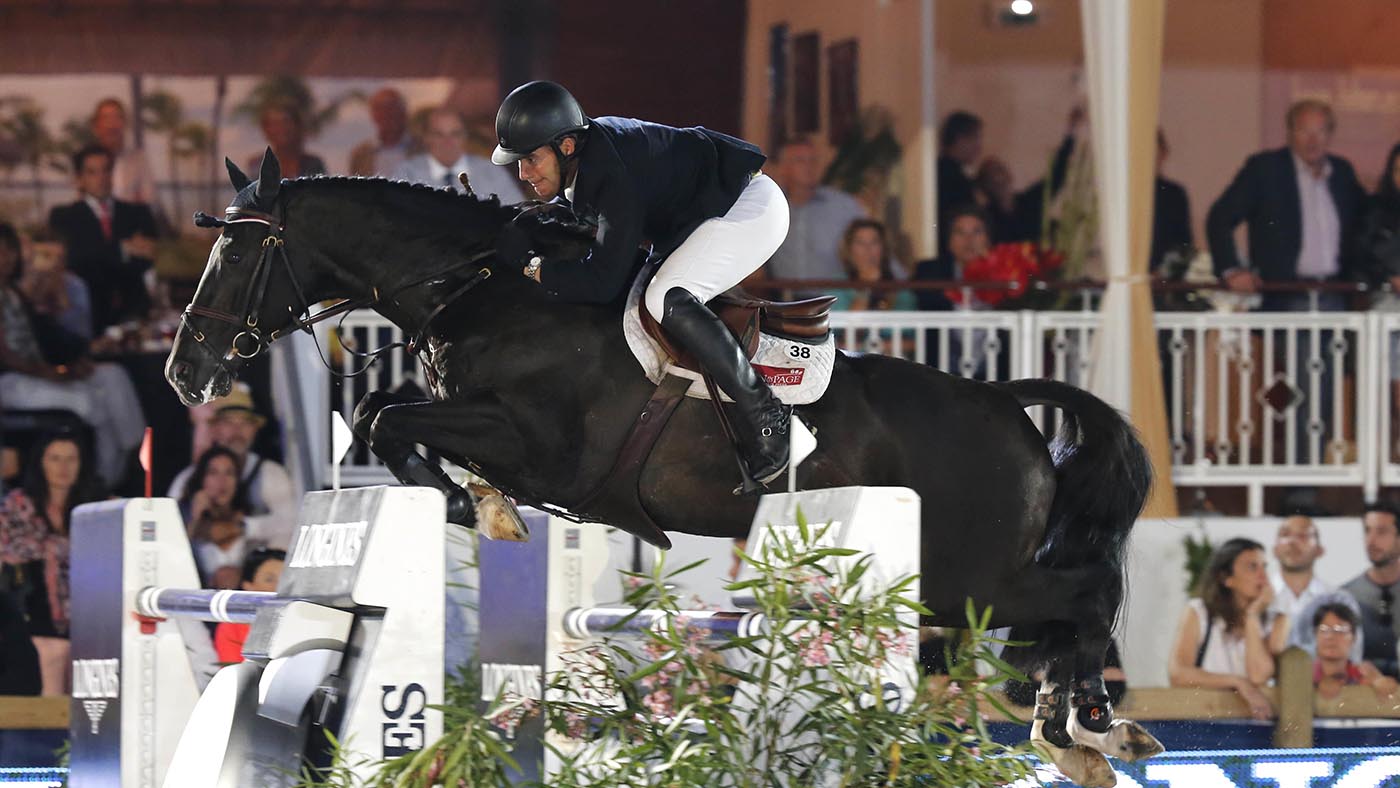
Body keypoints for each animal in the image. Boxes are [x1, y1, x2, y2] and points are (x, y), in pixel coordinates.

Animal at [166, 151, 1159, 783]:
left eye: (238, 251)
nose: (185, 373)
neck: (487, 289)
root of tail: (1003, 403)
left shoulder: (547, 448)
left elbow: (386, 416)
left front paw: (469, 503)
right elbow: (390, 422)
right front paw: (478, 507)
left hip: (969, 578)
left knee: (1082, 595)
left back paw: (1085, 728)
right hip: (954, 590)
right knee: (1062, 608)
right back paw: (1080, 727)